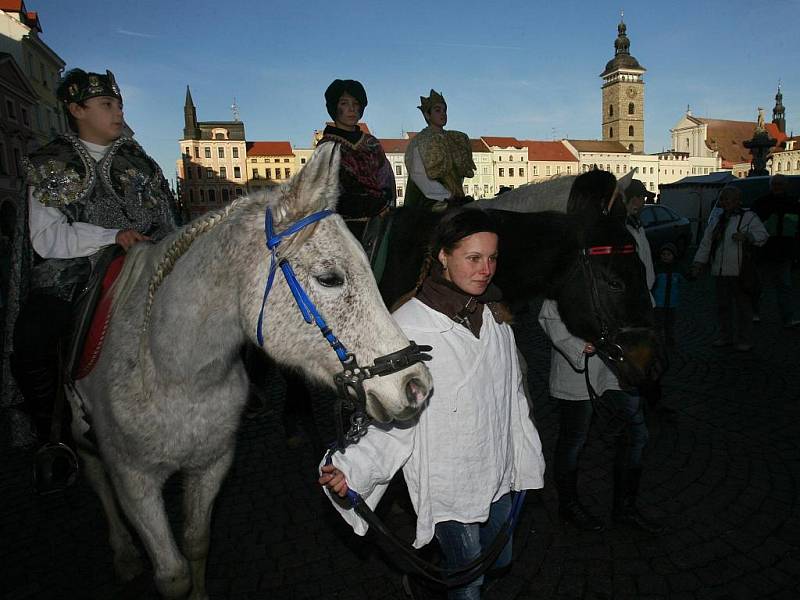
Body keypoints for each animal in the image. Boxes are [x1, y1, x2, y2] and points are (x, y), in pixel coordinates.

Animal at [68, 144, 432, 600]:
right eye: (330, 278)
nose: (416, 384)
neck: (172, 369)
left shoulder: (212, 463)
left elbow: (197, 540)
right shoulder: (133, 479)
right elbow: (172, 574)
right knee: (95, 477)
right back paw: (124, 554)